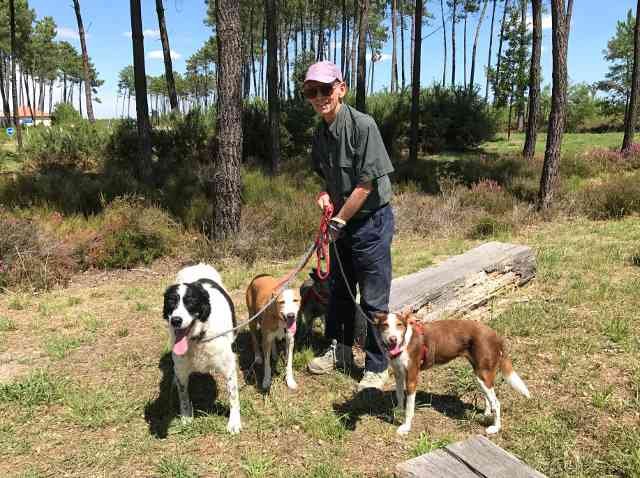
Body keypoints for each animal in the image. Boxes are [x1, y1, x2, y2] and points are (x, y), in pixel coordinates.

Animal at [161, 264, 241, 436]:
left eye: (191, 302)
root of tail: (198, 264)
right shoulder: (182, 369)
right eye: (171, 302)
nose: (176, 320)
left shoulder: (229, 366)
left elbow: (233, 395)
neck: (199, 337)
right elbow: (184, 396)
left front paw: (234, 422)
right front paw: (186, 418)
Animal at [372, 310, 532, 436]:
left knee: (497, 403)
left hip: (482, 374)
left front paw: (405, 426)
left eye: (399, 325)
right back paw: (487, 413)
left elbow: (410, 408)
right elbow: (399, 395)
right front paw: (398, 410)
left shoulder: (412, 378)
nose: (392, 339)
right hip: (481, 373)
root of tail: (494, 334)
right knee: (490, 397)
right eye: (385, 325)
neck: (404, 343)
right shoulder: (399, 374)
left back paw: (495, 428)